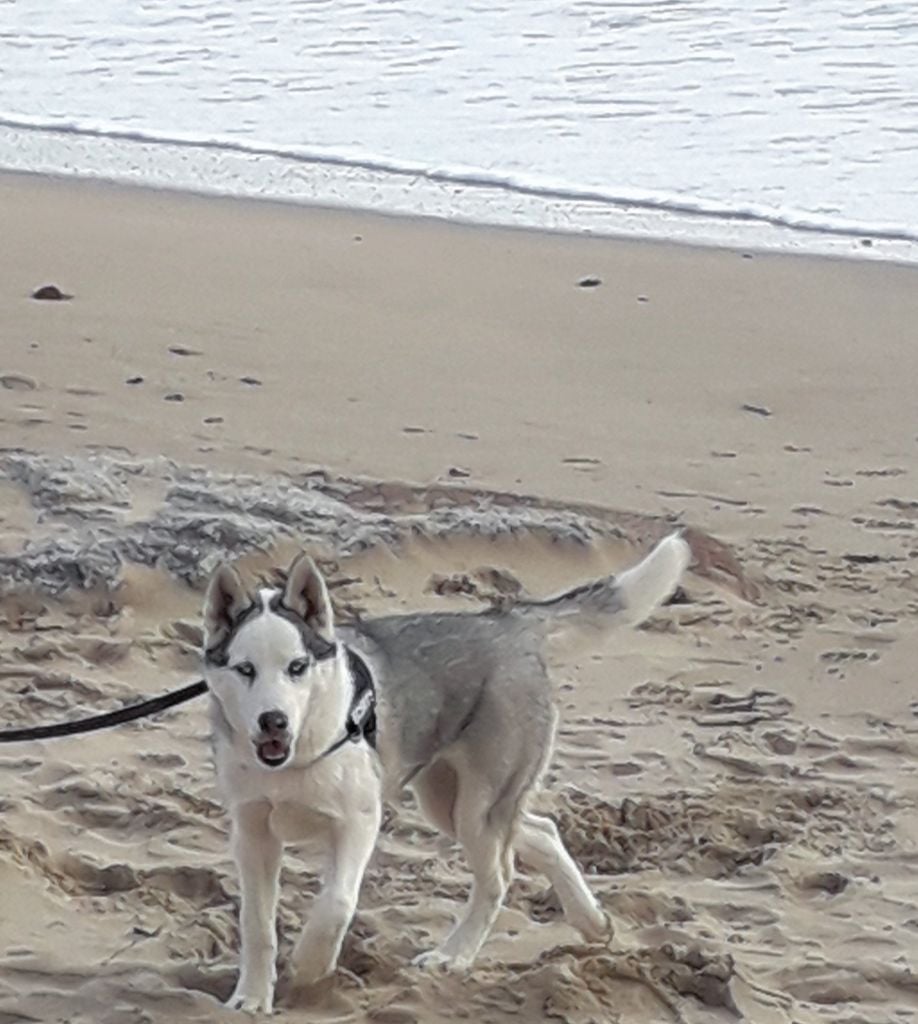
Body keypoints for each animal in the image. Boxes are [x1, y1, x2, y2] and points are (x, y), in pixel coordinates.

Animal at [204, 532, 692, 1011]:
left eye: (297, 667)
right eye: (245, 669)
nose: (273, 721)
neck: (297, 756)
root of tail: (507, 623)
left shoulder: (358, 822)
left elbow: (336, 903)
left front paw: (310, 967)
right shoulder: (253, 834)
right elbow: (256, 925)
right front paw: (251, 996)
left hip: (478, 808)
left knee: (498, 878)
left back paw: (453, 956)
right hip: (449, 803)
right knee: (543, 831)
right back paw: (591, 921)